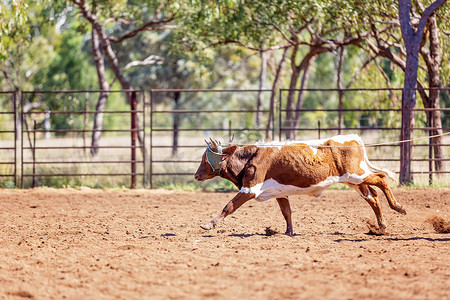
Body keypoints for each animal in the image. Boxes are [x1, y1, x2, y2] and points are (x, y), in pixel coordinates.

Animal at [195, 135, 406, 236]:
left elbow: (229, 206)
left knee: (381, 178)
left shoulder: (249, 189)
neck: (251, 157)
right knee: (373, 197)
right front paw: (288, 232)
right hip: (355, 181)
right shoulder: (279, 192)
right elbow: (286, 212)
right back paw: (381, 226)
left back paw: (398, 207)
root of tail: (354, 138)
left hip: (357, 174)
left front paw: (209, 224)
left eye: (205, 158)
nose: (196, 175)